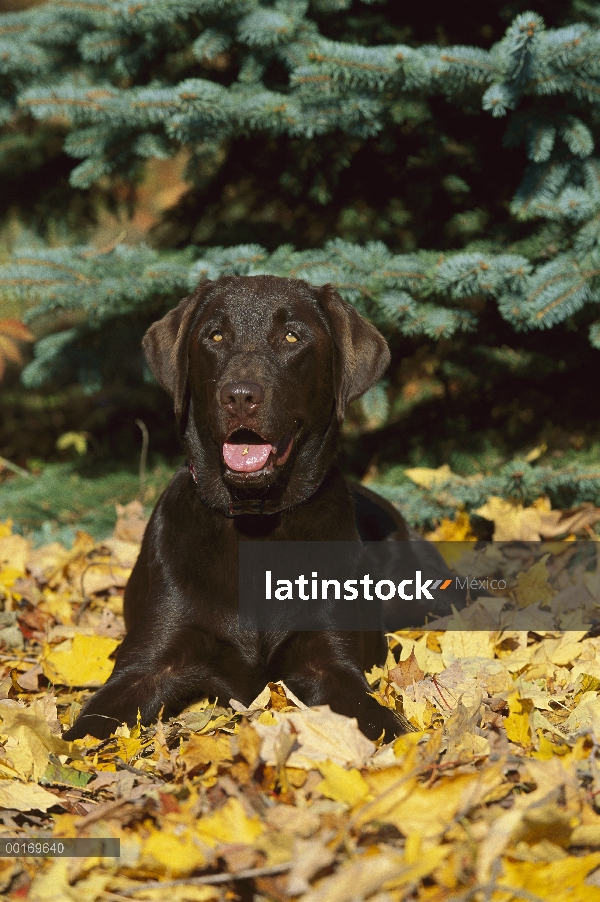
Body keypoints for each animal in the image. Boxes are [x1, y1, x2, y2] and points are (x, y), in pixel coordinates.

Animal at [63, 278, 452, 744]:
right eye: (214, 336)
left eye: (292, 337)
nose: (240, 396)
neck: (256, 520)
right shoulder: (147, 662)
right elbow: (83, 731)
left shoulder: (330, 662)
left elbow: (382, 723)